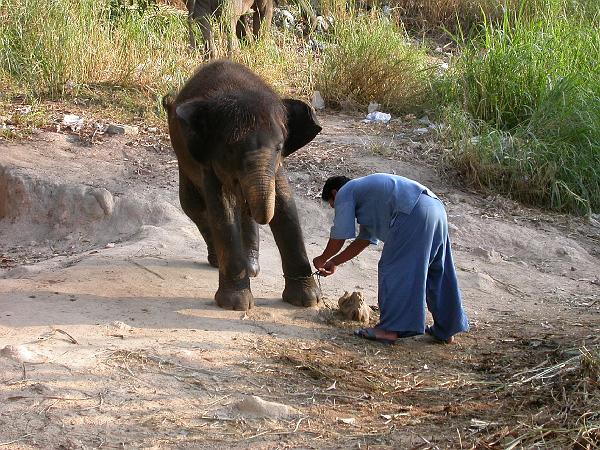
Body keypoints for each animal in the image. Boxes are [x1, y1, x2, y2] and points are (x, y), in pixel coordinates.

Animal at [163, 59, 324, 312]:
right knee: (193, 206)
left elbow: (285, 204)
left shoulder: (276, 167)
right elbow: (222, 209)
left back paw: (251, 268)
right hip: (184, 163)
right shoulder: (208, 161)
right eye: (231, 150)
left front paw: (307, 301)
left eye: (280, 147)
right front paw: (236, 304)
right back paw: (218, 262)